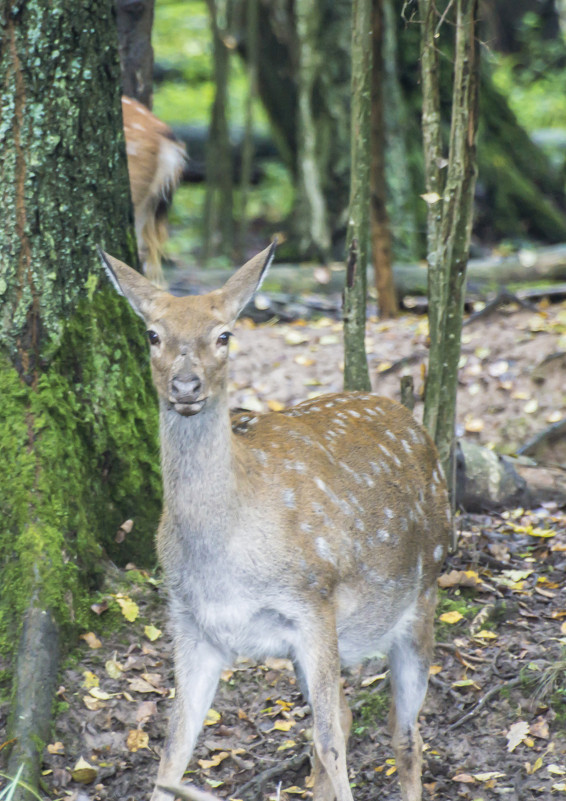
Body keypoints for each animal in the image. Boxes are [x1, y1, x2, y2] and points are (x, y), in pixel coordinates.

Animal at [98, 242, 452, 800]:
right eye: (153, 334)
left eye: (224, 334)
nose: (185, 386)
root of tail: (411, 418)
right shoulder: (191, 623)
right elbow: (171, 756)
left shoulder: (314, 600)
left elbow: (330, 743)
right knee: (349, 717)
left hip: (423, 592)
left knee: (404, 732)